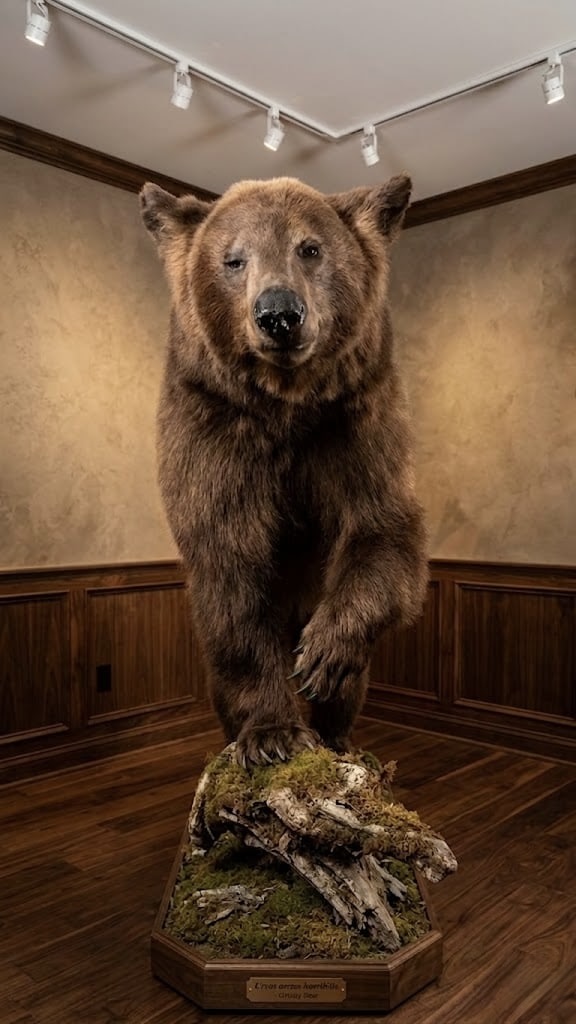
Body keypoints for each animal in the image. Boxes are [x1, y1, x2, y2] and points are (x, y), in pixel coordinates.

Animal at [140, 174, 428, 768]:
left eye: (309, 248)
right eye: (234, 258)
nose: (279, 314)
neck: (286, 404)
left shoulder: (354, 420)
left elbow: (383, 524)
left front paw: (323, 654)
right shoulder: (214, 429)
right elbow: (231, 565)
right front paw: (271, 734)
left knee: (353, 689)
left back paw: (341, 738)